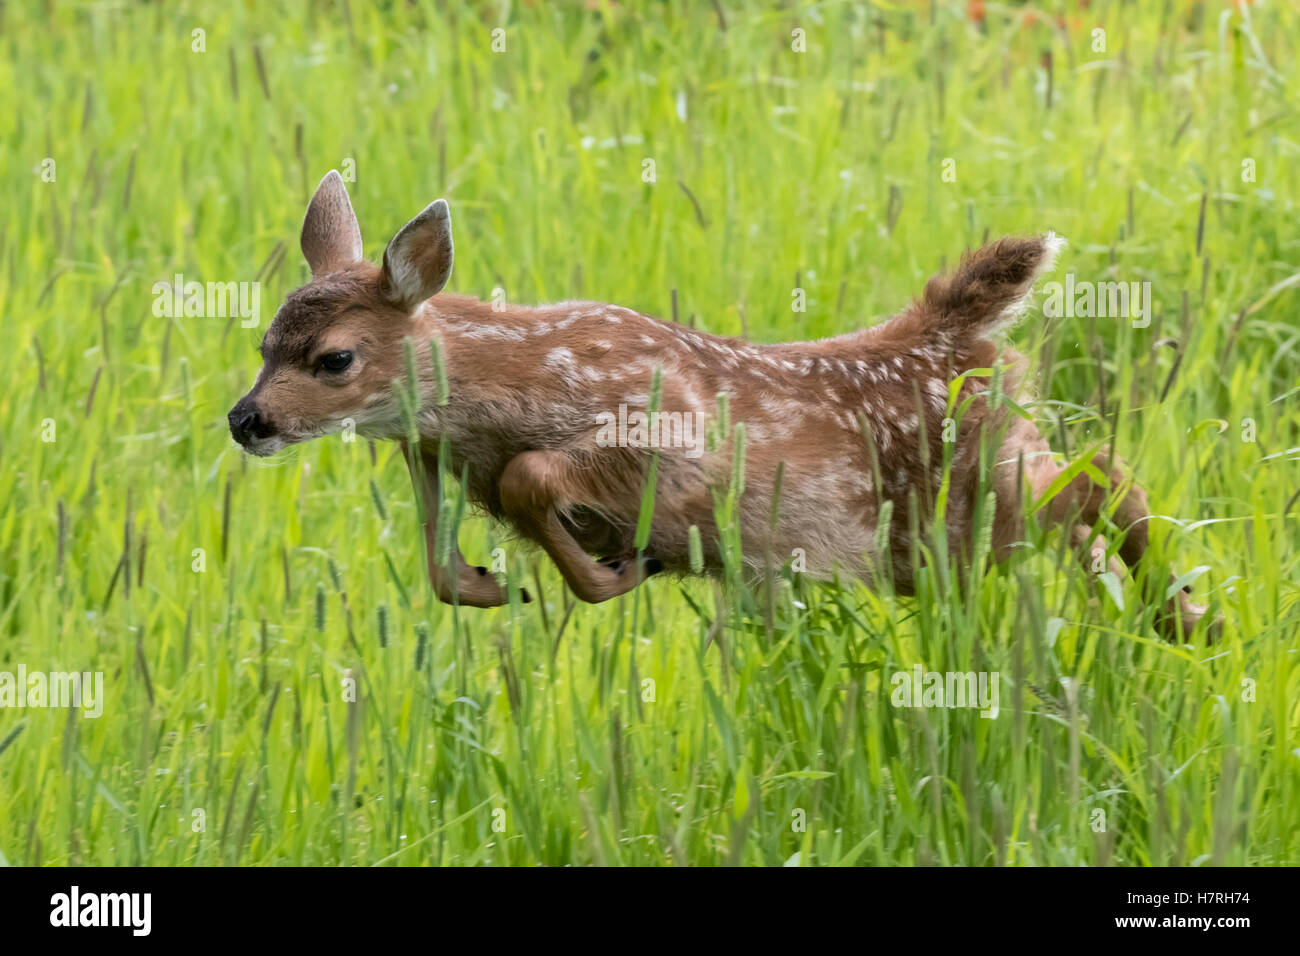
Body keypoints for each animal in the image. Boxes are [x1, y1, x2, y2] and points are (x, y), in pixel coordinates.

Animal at [228, 171, 1212, 639]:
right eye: (263, 342)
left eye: (334, 358)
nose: (247, 421)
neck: (513, 384)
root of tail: (950, 333)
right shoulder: (431, 456)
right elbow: (441, 559)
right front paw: (492, 583)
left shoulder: (667, 436)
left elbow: (530, 477)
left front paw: (612, 572)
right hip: (947, 538)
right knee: (1088, 500)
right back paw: (1167, 613)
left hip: (977, 494)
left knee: (1103, 479)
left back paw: (1189, 616)